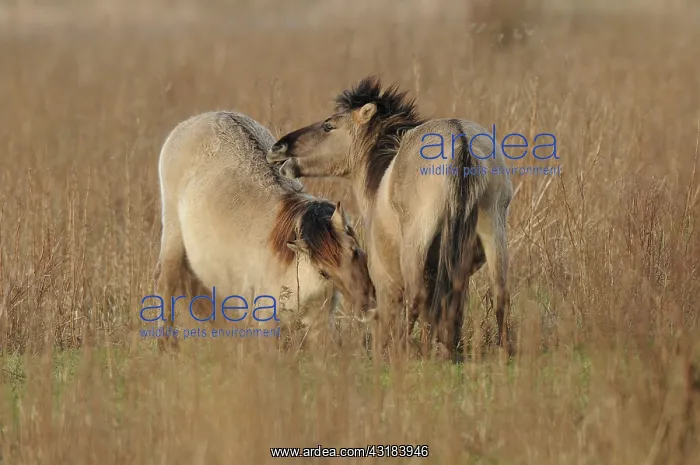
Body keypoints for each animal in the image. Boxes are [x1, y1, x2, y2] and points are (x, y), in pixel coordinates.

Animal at [154, 110, 376, 350]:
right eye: (324, 271)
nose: (368, 307)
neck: (295, 264)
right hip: (173, 235)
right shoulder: (266, 322)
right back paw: (166, 344)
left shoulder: (320, 324)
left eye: (356, 252)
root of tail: (196, 120)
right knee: (166, 283)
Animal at [266, 77, 512, 360]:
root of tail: (460, 139)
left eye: (329, 125)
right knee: (500, 294)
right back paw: (502, 354)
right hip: (493, 231)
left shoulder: (385, 284)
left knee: (417, 299)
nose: (277, 147)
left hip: (415, 246)